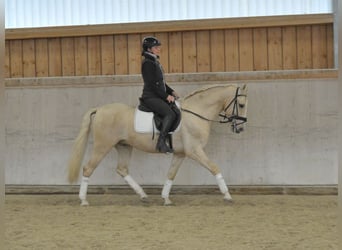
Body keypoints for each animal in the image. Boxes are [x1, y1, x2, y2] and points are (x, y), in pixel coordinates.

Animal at [68, 84, 247, 205]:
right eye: (242, 105)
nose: (240, 128)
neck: (196, 113)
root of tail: (99, 109)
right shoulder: (194, 151)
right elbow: (215, 168)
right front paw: (227, 195)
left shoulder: (180, 153)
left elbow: (171, 174)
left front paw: (166, 198)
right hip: (102, 146)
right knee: (88, 168)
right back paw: (83, 200)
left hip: (124, 146)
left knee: (122, 169)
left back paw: (143, 195)